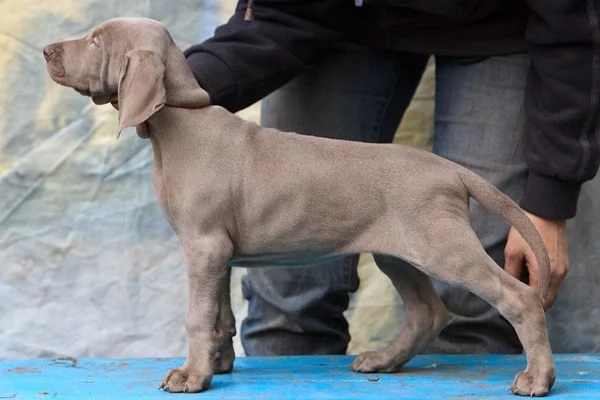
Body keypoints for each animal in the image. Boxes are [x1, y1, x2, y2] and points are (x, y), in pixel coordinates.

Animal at [44, 17, 556, 396]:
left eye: (94, 41)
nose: (47, 50)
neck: (179, 123)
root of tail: (451, 169)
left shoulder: (204, 246)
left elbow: (197, 316)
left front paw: (192, 376)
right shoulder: (219, 252)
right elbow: (220, 315)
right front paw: (218, 365)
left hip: (443, 248)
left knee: (518, 298)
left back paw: (538, 378)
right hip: (399, 252)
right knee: (427, 311)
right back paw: (383, 360)